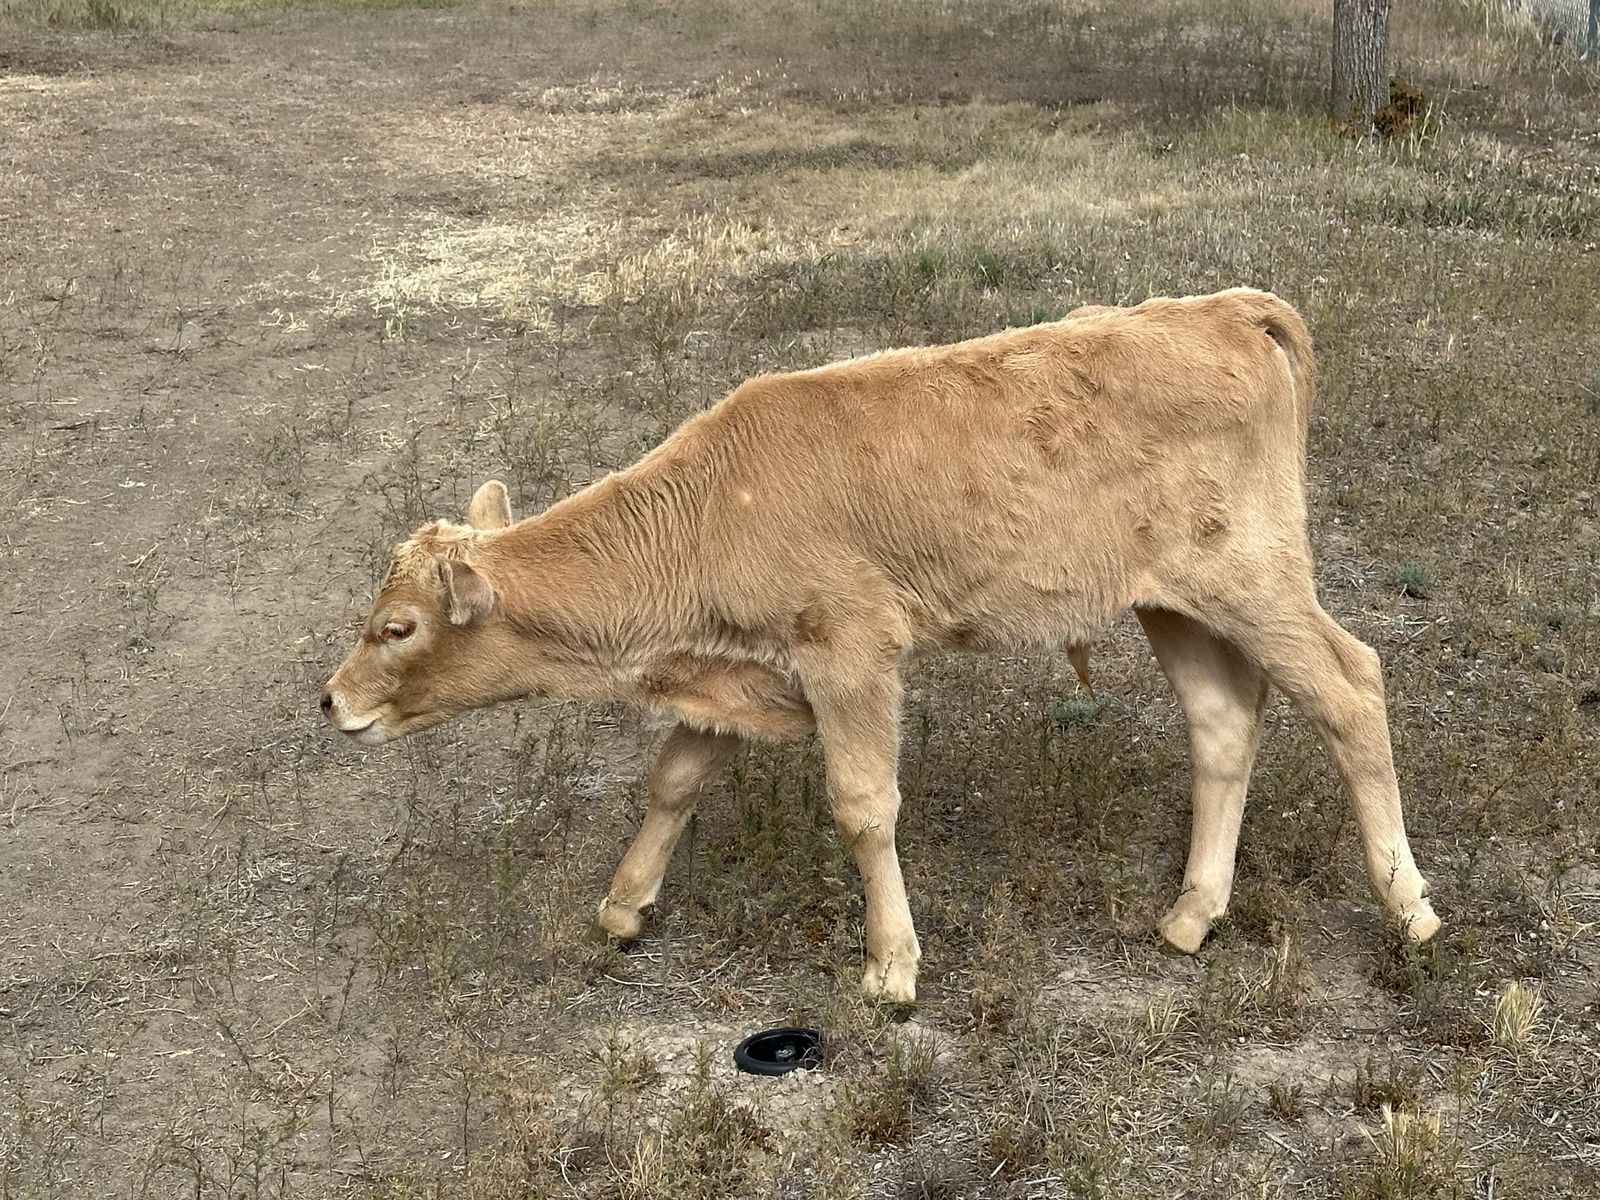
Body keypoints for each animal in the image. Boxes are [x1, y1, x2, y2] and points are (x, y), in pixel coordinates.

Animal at [321, 287, 1440, 1003]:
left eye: (398, 627)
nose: (331, 701)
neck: (711, 508)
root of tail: (1223, 310)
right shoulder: (741, 672)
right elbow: (675, 778)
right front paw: (623, 908)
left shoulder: (848, 655)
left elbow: (864, 806)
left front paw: (891, 970)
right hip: (1171, 606)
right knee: (1222, 722)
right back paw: (1188, 916)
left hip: (1256, 586)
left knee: (1350, 687)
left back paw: (1410, 909)